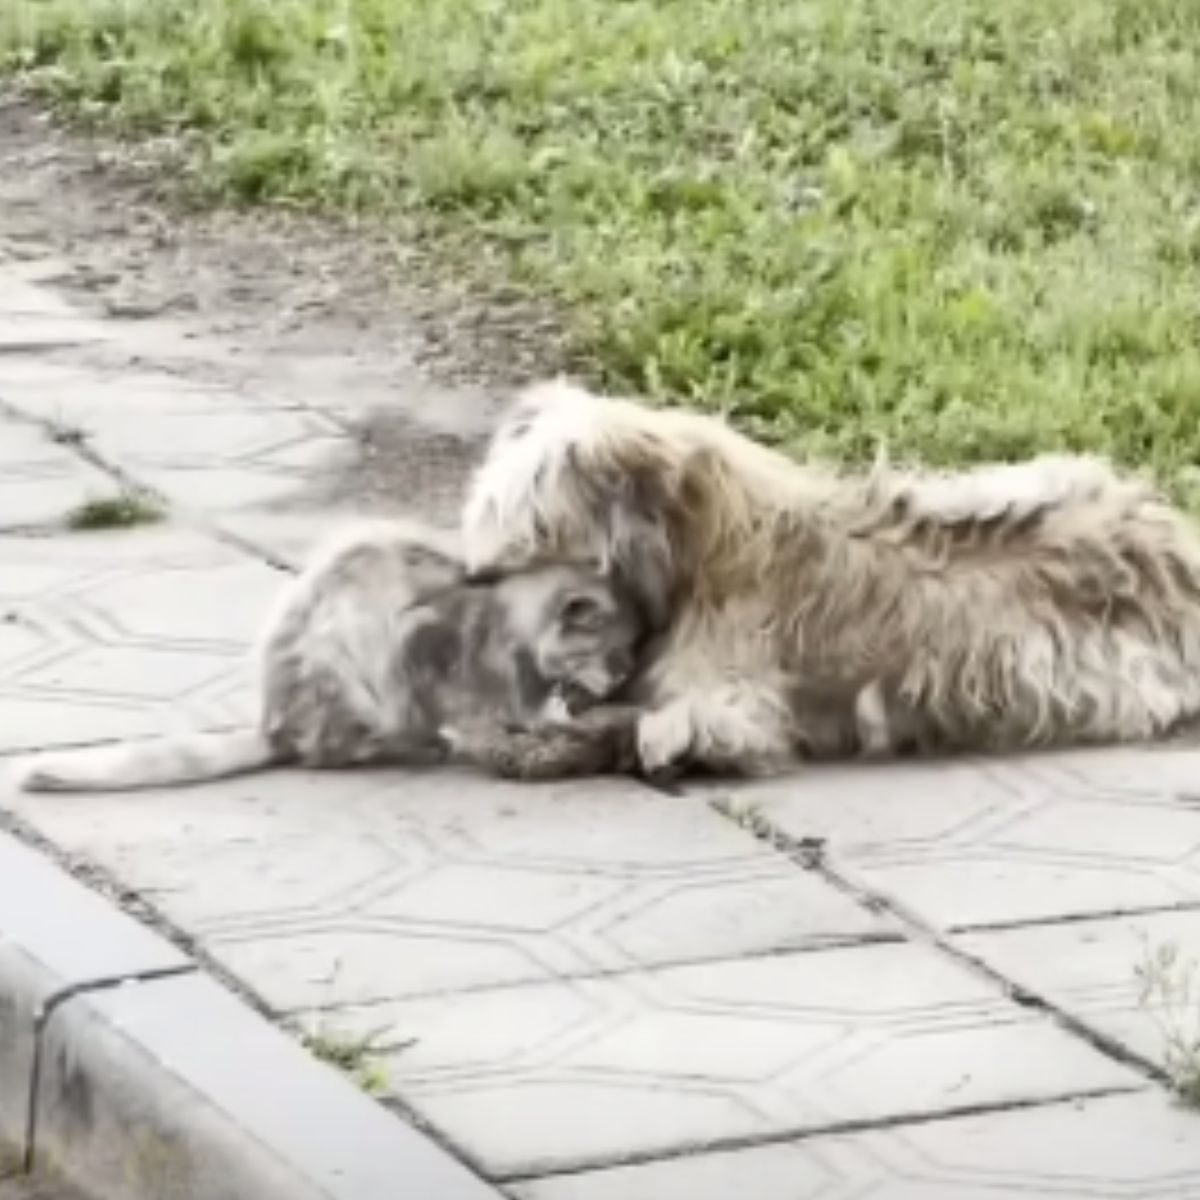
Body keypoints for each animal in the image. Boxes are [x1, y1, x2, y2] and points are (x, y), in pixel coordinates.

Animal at [11, 520, 648, 792]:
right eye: (609, 650)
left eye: (632, 650)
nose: (623, 674)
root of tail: (273, 724)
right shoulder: (426, 645)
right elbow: (474, 707)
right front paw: (502, 734)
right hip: (354, 673)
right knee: (336, 752)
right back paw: (418, 746)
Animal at [460, 376, 1200, 777]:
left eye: (531, 525)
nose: (471, 575)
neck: (702, 543)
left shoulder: (728, 704)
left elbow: (653, 725)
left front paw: (533, 741)